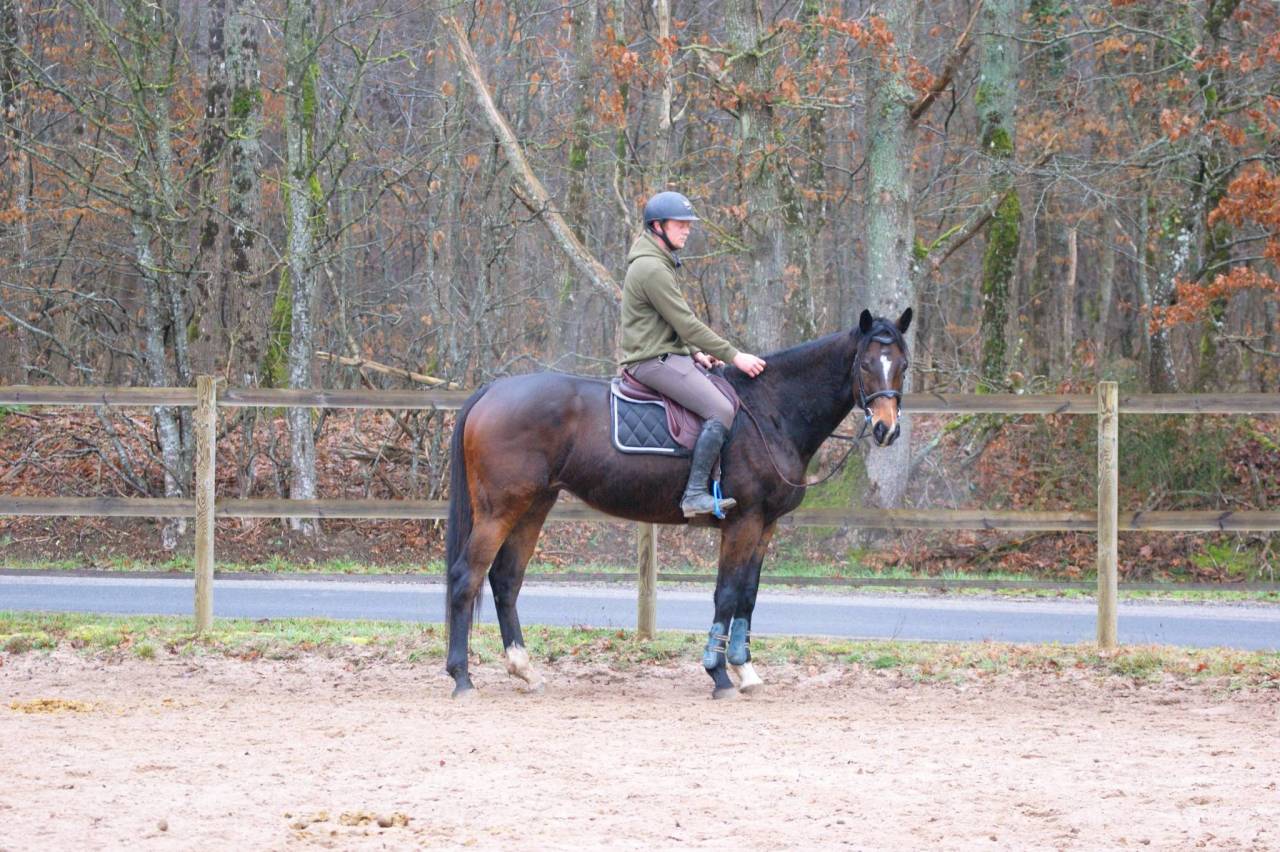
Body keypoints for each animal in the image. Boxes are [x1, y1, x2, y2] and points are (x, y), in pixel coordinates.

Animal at [444, 308, 912, 699]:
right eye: (866, 364)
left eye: (903, 365)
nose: (886, 429)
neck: (770, 410)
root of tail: (492, 390)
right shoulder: (743, 522)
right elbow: (727, 593)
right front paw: (719, 673)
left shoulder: (766, 525)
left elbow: (748, 595)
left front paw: (744, 669)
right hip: (500, 510)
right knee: (467, 578)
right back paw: (461, 677)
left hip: (534, 506)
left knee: (506, 580)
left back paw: (524, 669)